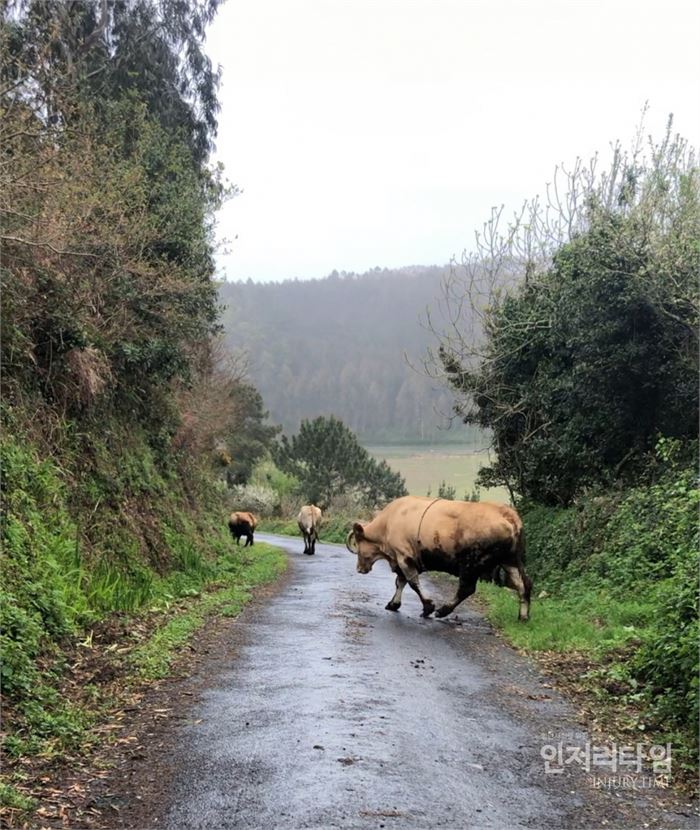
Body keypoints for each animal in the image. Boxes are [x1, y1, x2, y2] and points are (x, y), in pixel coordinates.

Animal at [348, 498, 532, 620]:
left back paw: (443, 610)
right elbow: (400, 582)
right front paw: (393, 604)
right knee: (523, 585)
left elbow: (412, 582)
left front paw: (428, 607)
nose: (359, 568)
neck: (388, 523)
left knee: (466, 589)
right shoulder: (401, 559)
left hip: (471, 563)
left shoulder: (404, 556)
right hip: (510, 561)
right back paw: (523, 617)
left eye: (358, 542)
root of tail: (508, 515)